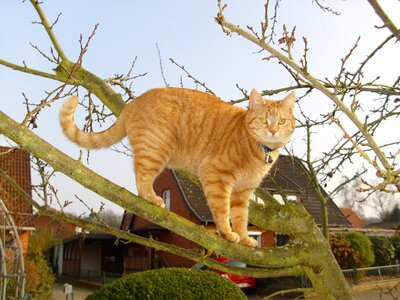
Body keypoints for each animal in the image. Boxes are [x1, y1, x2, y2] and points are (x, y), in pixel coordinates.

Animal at [60, 88, 296, 247]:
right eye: (264, 120)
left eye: (282, 121)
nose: (273, 131)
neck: (259, 149)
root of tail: (133, 102)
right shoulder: (216, 175)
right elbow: (222, 211)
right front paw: (227, 234)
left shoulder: (242, 192)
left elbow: (240, 218)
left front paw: (245, 238)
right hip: (156, 150)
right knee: (141, 176)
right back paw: (152, 198)